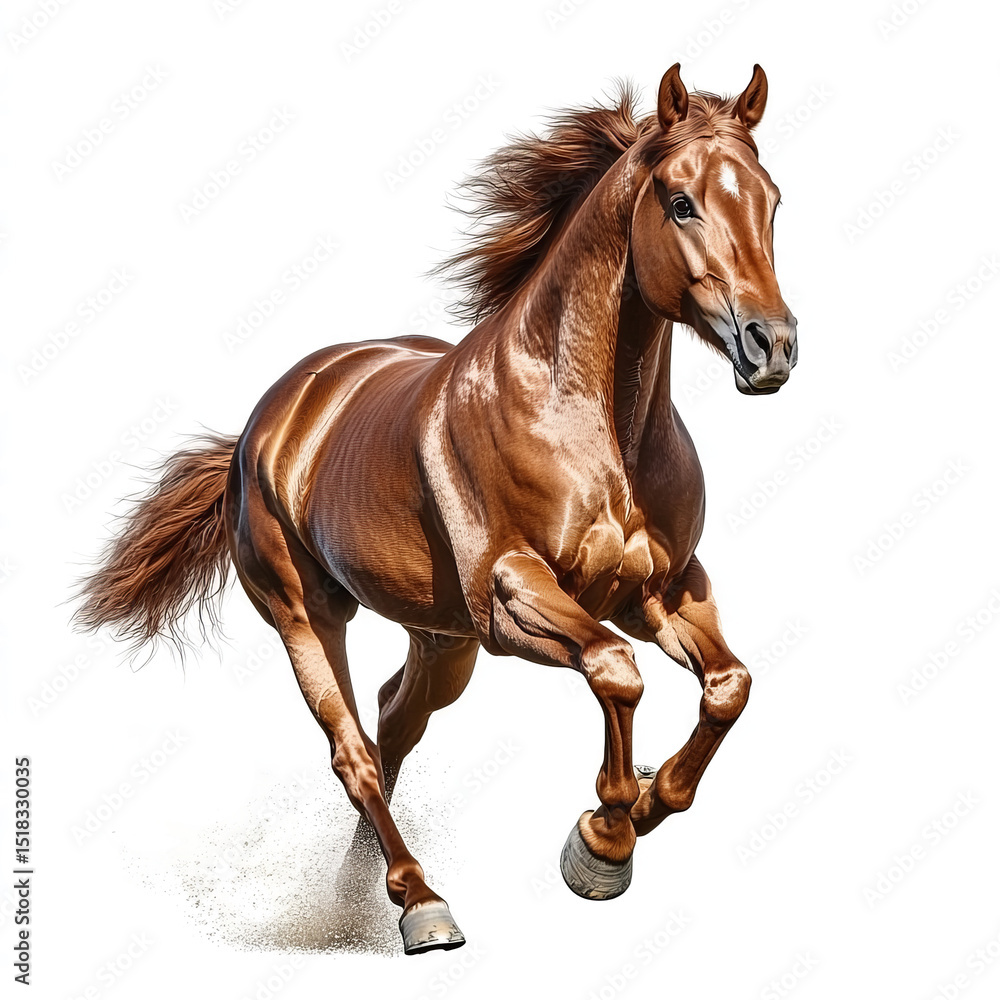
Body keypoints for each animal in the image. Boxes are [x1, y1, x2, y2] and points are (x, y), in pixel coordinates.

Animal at [74, 63, 797, 955]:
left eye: (771, 200)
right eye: (680, 201)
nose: (773, 346)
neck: (592, 426)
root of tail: (268, 420)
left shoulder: (661, 590)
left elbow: (729, 685)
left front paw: (648, 797)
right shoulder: (512, 597)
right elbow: (616, 670)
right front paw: (604, 840)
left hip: (442, 639)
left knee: (393, 723)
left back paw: (363, 891)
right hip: (308, 616)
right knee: (353, 751)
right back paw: (420, 904)